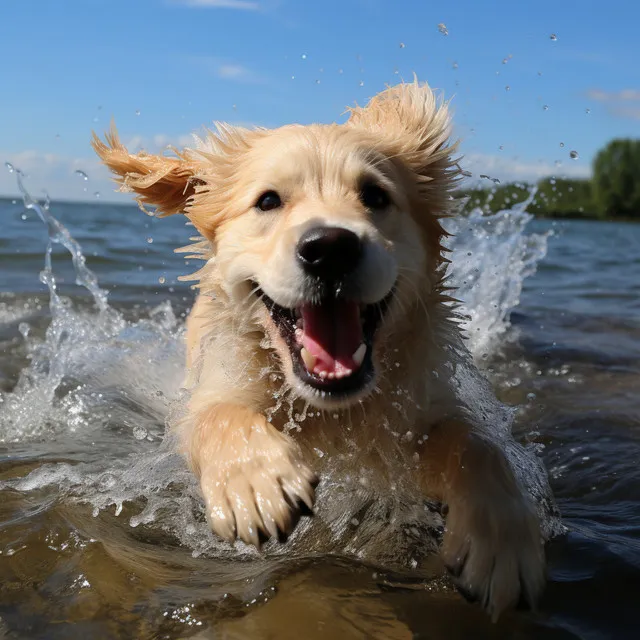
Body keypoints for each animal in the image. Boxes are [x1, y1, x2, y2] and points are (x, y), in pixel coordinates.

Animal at [92, 81, 548, 620]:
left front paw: (502, 538)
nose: (330, 247)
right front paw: (253, 480)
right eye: (268, 201)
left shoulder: (413, 418)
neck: (331, 409)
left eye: (375, 195)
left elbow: (476, 444)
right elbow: (217, 415)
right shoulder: (209, 391)